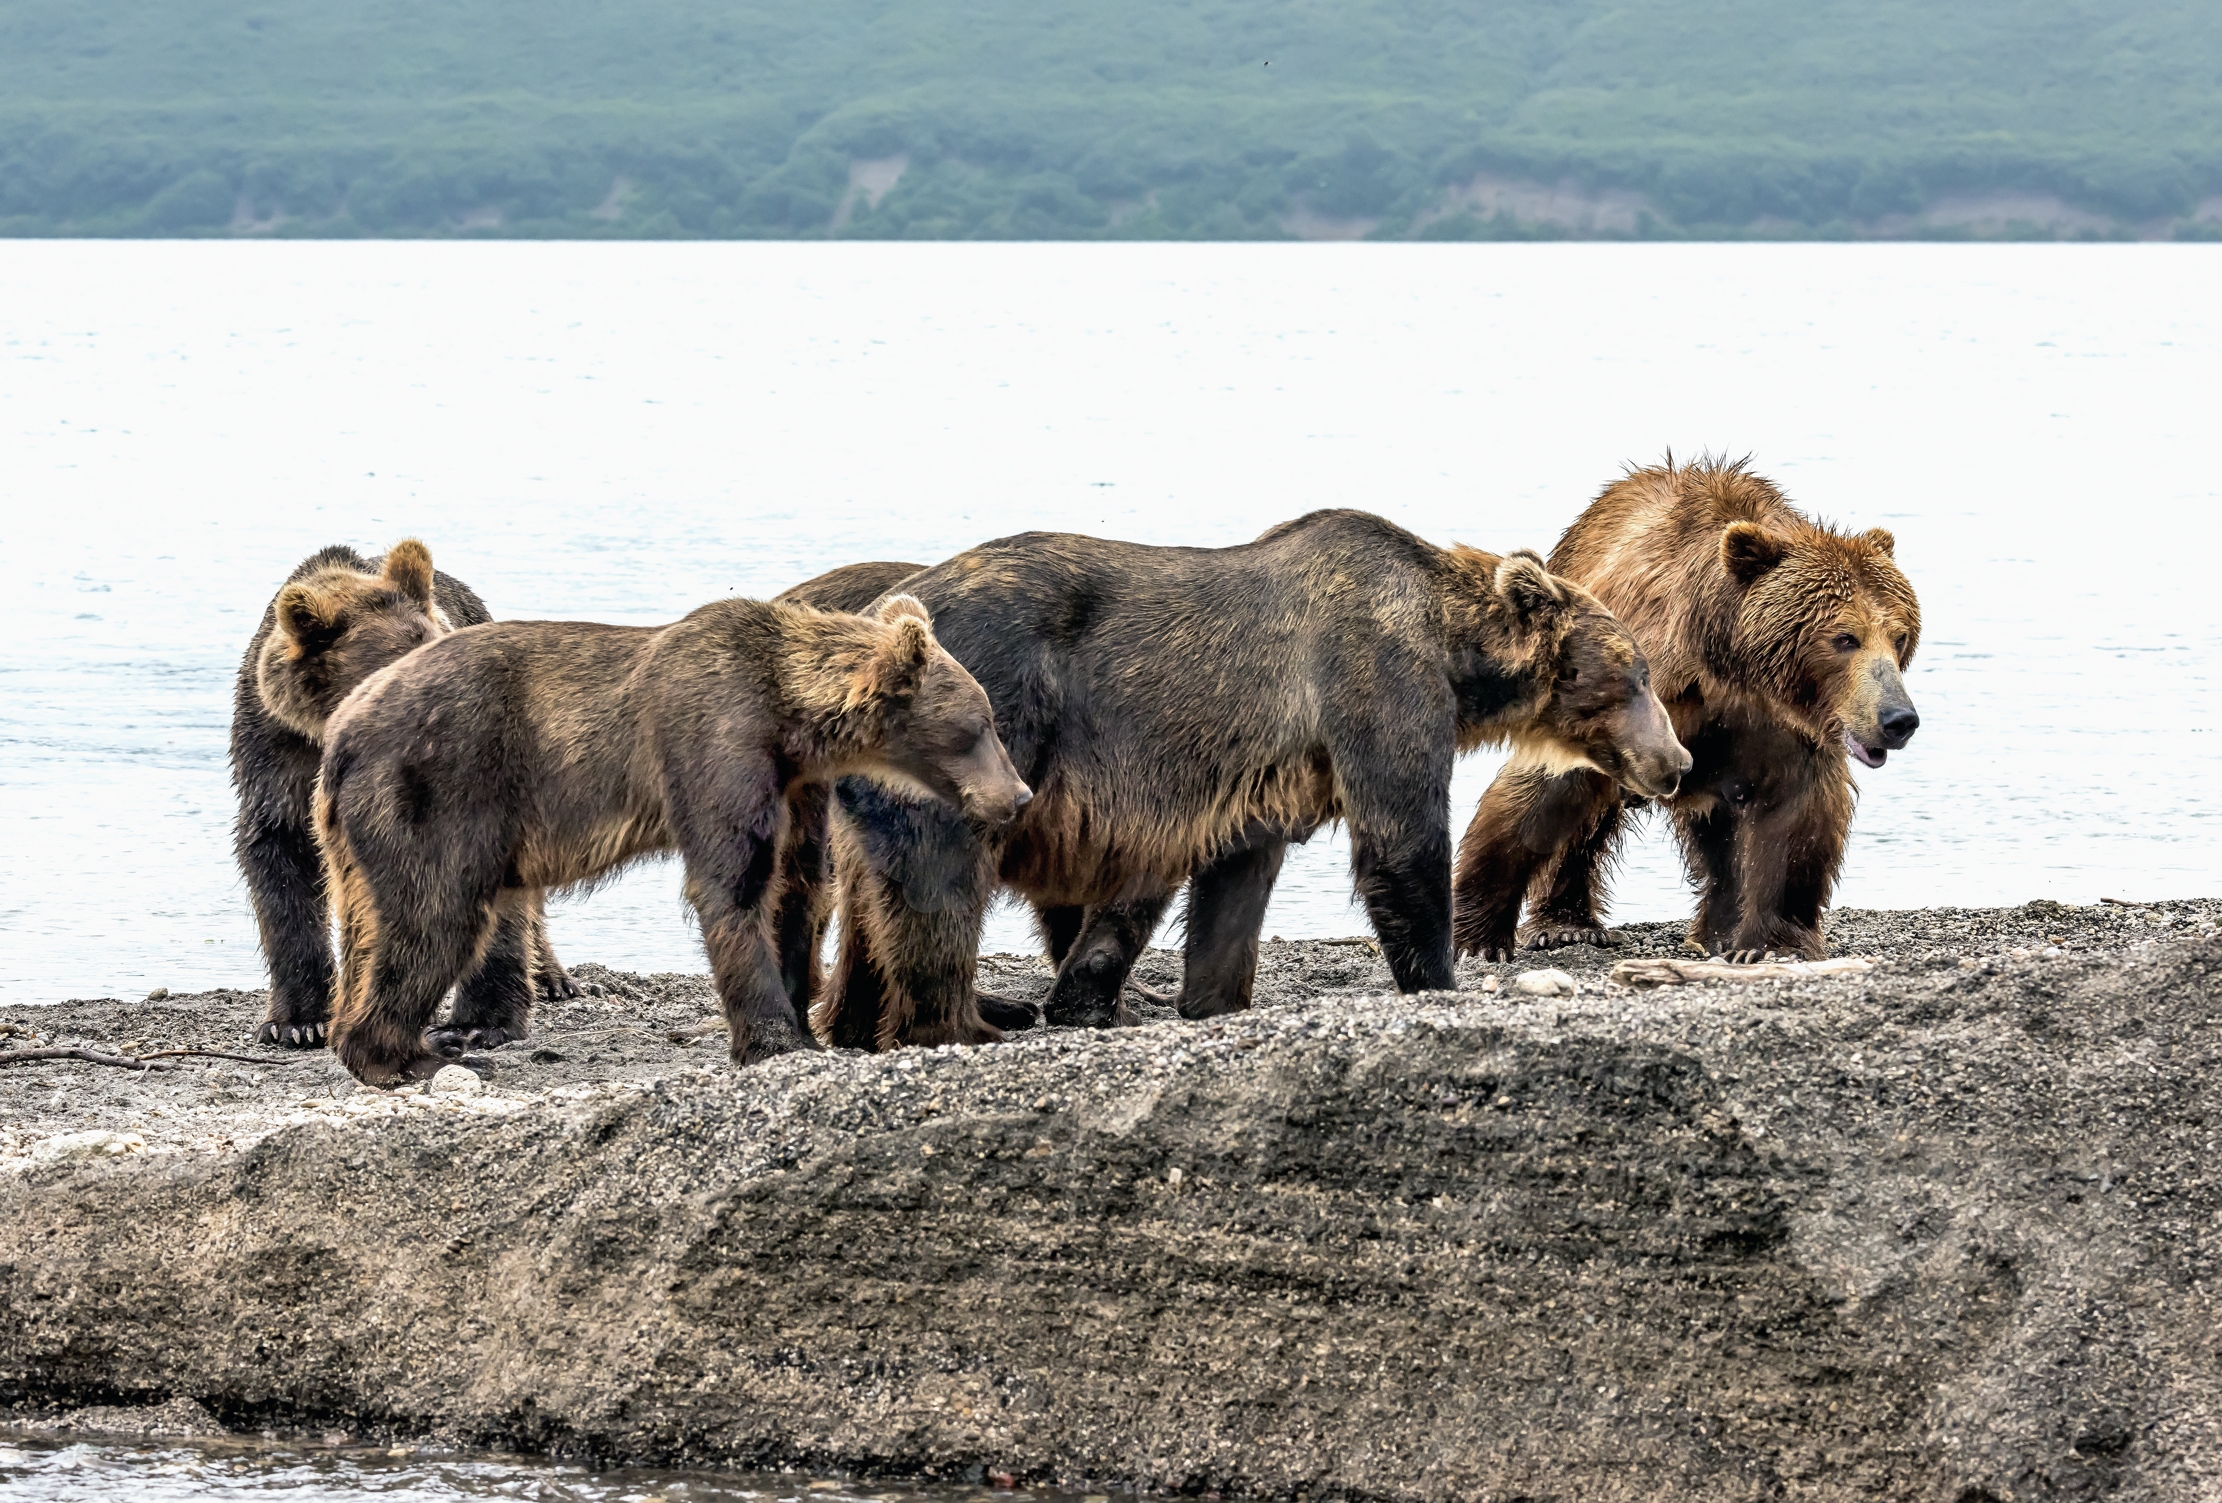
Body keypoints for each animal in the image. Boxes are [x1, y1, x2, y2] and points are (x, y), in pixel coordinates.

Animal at [313, 593, 1030, 1087]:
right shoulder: (715, 739)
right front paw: (775, 1040)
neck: (790, 718)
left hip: (353, 840)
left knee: (373, 926)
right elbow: (733, 884)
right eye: (981, 725)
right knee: (436, 916)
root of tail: (340, 733)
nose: (1019, 796)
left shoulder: (796, 782)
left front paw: (800, 1020)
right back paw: (409, 1056)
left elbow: (797, 886)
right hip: (437, 791)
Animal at [777, 509, 1691, 1052]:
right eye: (1637, 672)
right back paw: (960, 1019)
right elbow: (1400, 839)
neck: (1453, 647)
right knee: (940, 877)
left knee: (872, 898)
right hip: (977, 722)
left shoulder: (1270, 771)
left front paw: (1213, 993)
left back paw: (858, 1020)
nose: (1677, 761)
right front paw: (1438, 972)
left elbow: (1235, 879)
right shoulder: (1372, 674)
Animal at [1451, 456, 1921, 964]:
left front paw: (1771, 946)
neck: (1727, 666)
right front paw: (1478, 937)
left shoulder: (1781, 730)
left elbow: (1796, 817)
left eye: (1899, 636)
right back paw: (1567, 925)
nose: (1899, 719)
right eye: (1845, 637)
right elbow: (1540, 796)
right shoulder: (1630, 700)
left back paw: (1715, 931)